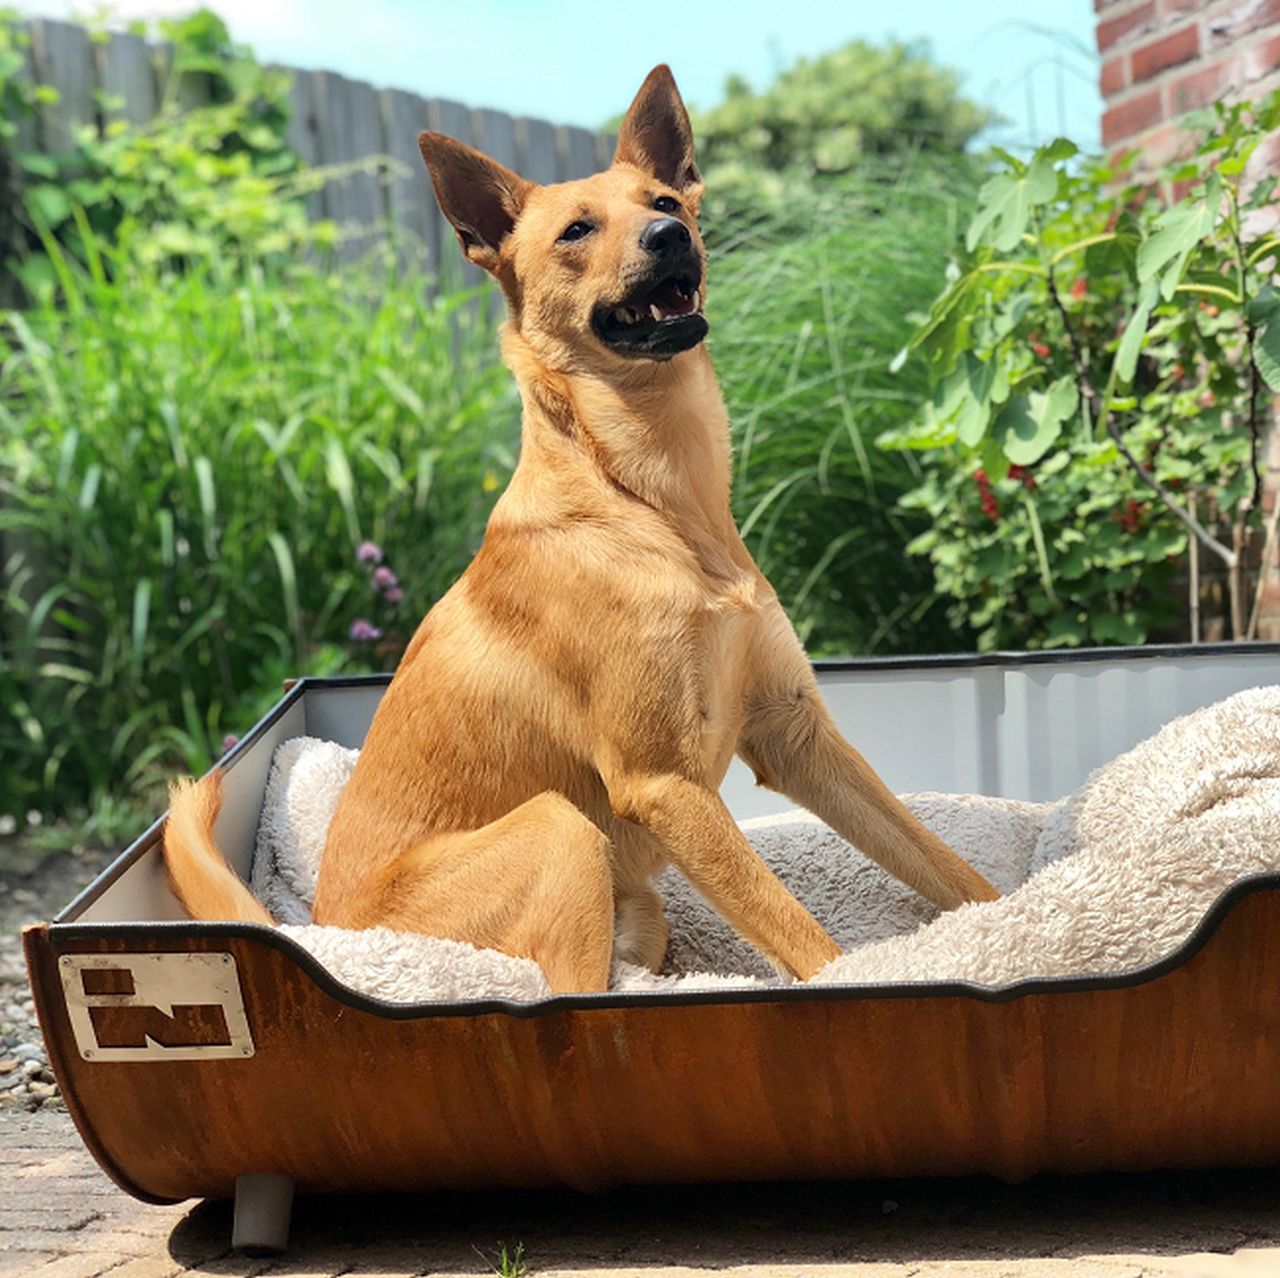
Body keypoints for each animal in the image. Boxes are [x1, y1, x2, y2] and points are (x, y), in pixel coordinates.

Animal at [162, 64, 998, 993]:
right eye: (576, 230)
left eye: (666, 199)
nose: (671, 235)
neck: (646, 497)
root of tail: (318, 929)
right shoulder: (663, 784)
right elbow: (809, 943)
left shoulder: (798, 734)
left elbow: (946, 865)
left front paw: (1010, 917)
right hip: (562, 830)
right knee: (566, 994)